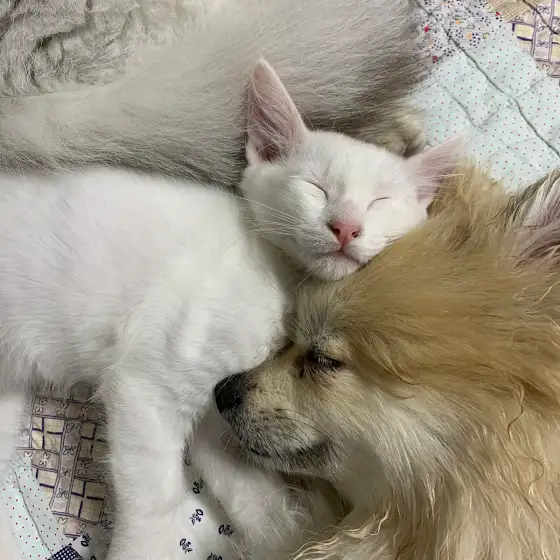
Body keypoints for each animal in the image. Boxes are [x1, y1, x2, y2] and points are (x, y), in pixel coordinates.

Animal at [0, 59, 456, 560]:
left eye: (380, 201)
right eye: (314, 188)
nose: (346, 227)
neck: (284, 290)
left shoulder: (222, 410)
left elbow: (255, 496)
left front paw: (290, 538)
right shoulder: (146, 387)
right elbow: (157, 502)